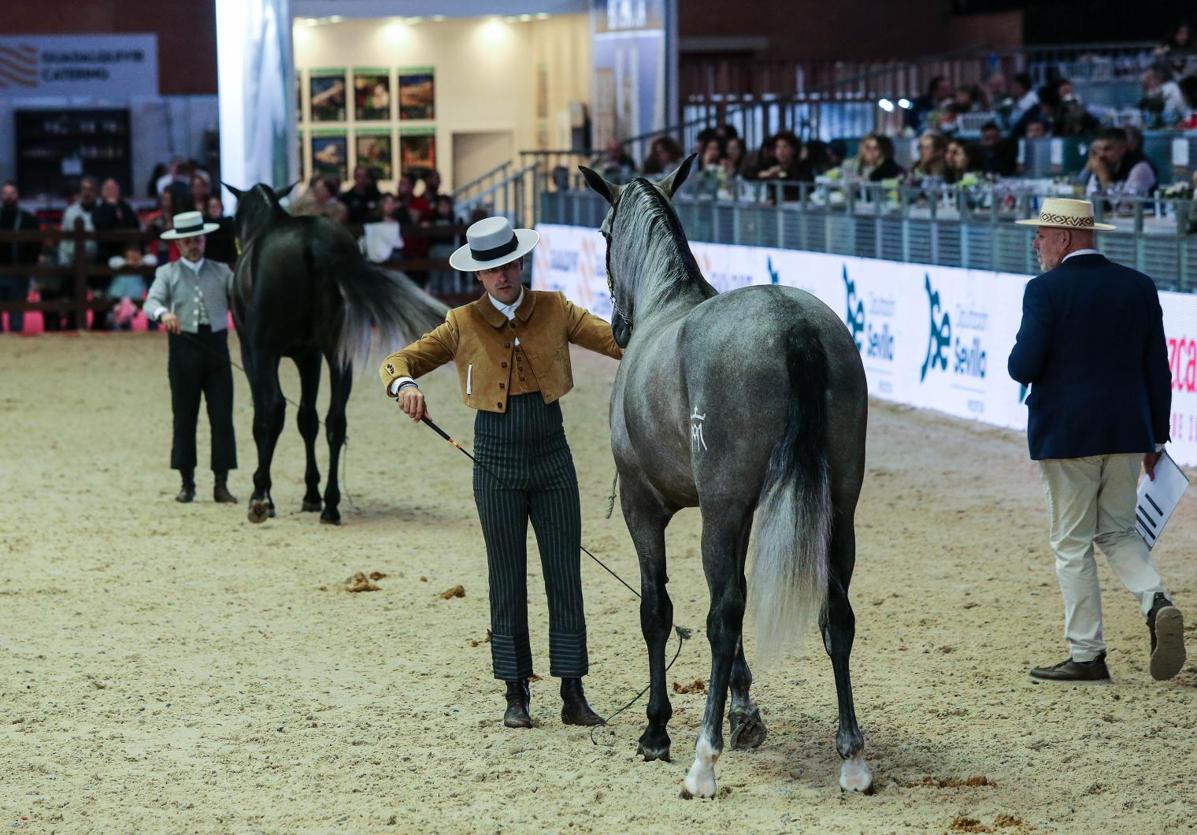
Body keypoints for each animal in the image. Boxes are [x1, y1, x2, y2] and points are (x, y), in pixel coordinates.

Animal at [225, 184, 450, 521]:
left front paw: (267, 493)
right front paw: (311, 495)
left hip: (266, 350)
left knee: (274, 410)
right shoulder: (309, 356)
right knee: (335, 419)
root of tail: (314, 243)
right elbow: (308, 419)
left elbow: (263, 418)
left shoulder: (252, 353)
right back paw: (330, 504)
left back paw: (260, 497)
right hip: (337, 355)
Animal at [579, 154, 871, 794]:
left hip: (721, 507)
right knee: (836, 612)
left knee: (724, 613)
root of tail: (794, 326)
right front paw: (745, 712)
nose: (615, 327)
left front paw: (656, 730)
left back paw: (702, 762)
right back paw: (853, 759)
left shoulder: (647, 506)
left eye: (604, 233)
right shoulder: (745, 515)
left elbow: (658, 611)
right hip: (839, 507)